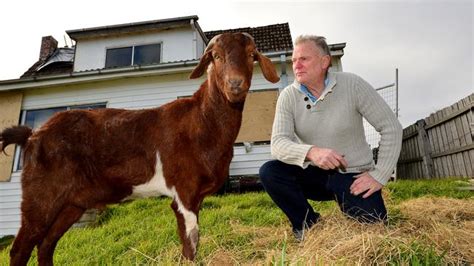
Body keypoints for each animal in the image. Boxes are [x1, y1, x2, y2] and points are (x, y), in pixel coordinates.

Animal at [0, 32, 278, 264]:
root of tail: (33, 135)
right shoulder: (184, 190)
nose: (235, 84)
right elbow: (190, 242)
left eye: (251, 55)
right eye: (216, 56)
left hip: (72, 204)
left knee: (46, 244)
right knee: (21, 247)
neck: (201, 120)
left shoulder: (197, 196)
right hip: (41, 195)